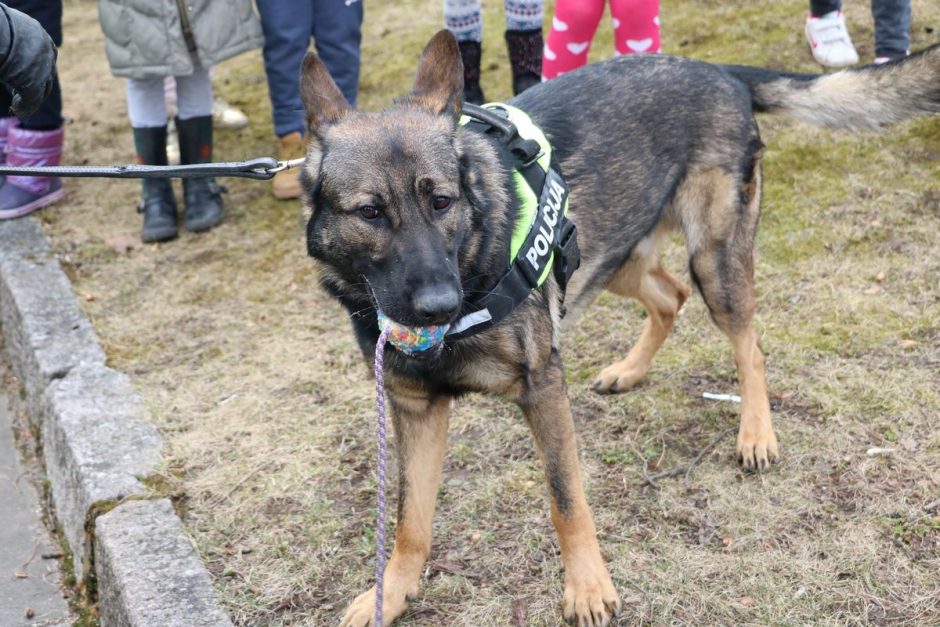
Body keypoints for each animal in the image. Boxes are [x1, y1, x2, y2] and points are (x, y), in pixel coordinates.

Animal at [300, 33, 940, 627]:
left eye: (441, 201)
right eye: (370, 213)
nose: (439, 306)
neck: (473, 258)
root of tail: (717, 69)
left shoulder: (542, 389)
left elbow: (566, 501)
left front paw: (587, 587)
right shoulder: (416, 409)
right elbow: (410, 520)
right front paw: (390, 594)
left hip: (713, 264)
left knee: (748, 344)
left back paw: (756, 433)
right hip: (609, 255)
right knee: (670, 297)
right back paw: (630, 370)